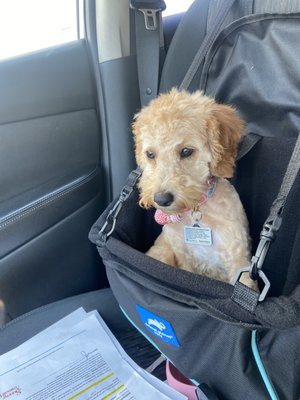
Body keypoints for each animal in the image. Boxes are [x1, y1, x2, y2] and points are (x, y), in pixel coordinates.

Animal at [132, 89, 256, 290]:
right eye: (150, 154)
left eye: (186, 151)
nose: (161, 199)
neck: (196, 210)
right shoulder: (184, 259)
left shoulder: (238, 260)